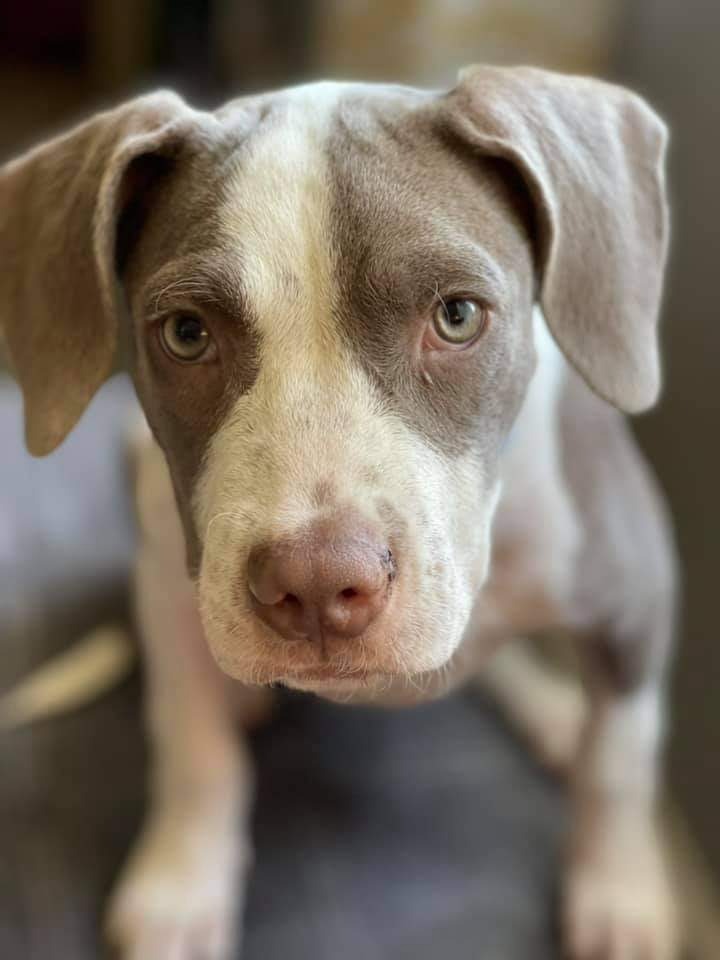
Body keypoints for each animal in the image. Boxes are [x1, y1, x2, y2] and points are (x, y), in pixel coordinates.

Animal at [0, 63, 676, 956]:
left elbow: (621, 763)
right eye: (185, 334)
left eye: (457, 316)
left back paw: (557, 711)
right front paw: (181, 886)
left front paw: (623, 892)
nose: (317, 587)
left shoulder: (636, 599)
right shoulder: (168, 592)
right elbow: (191, 745)